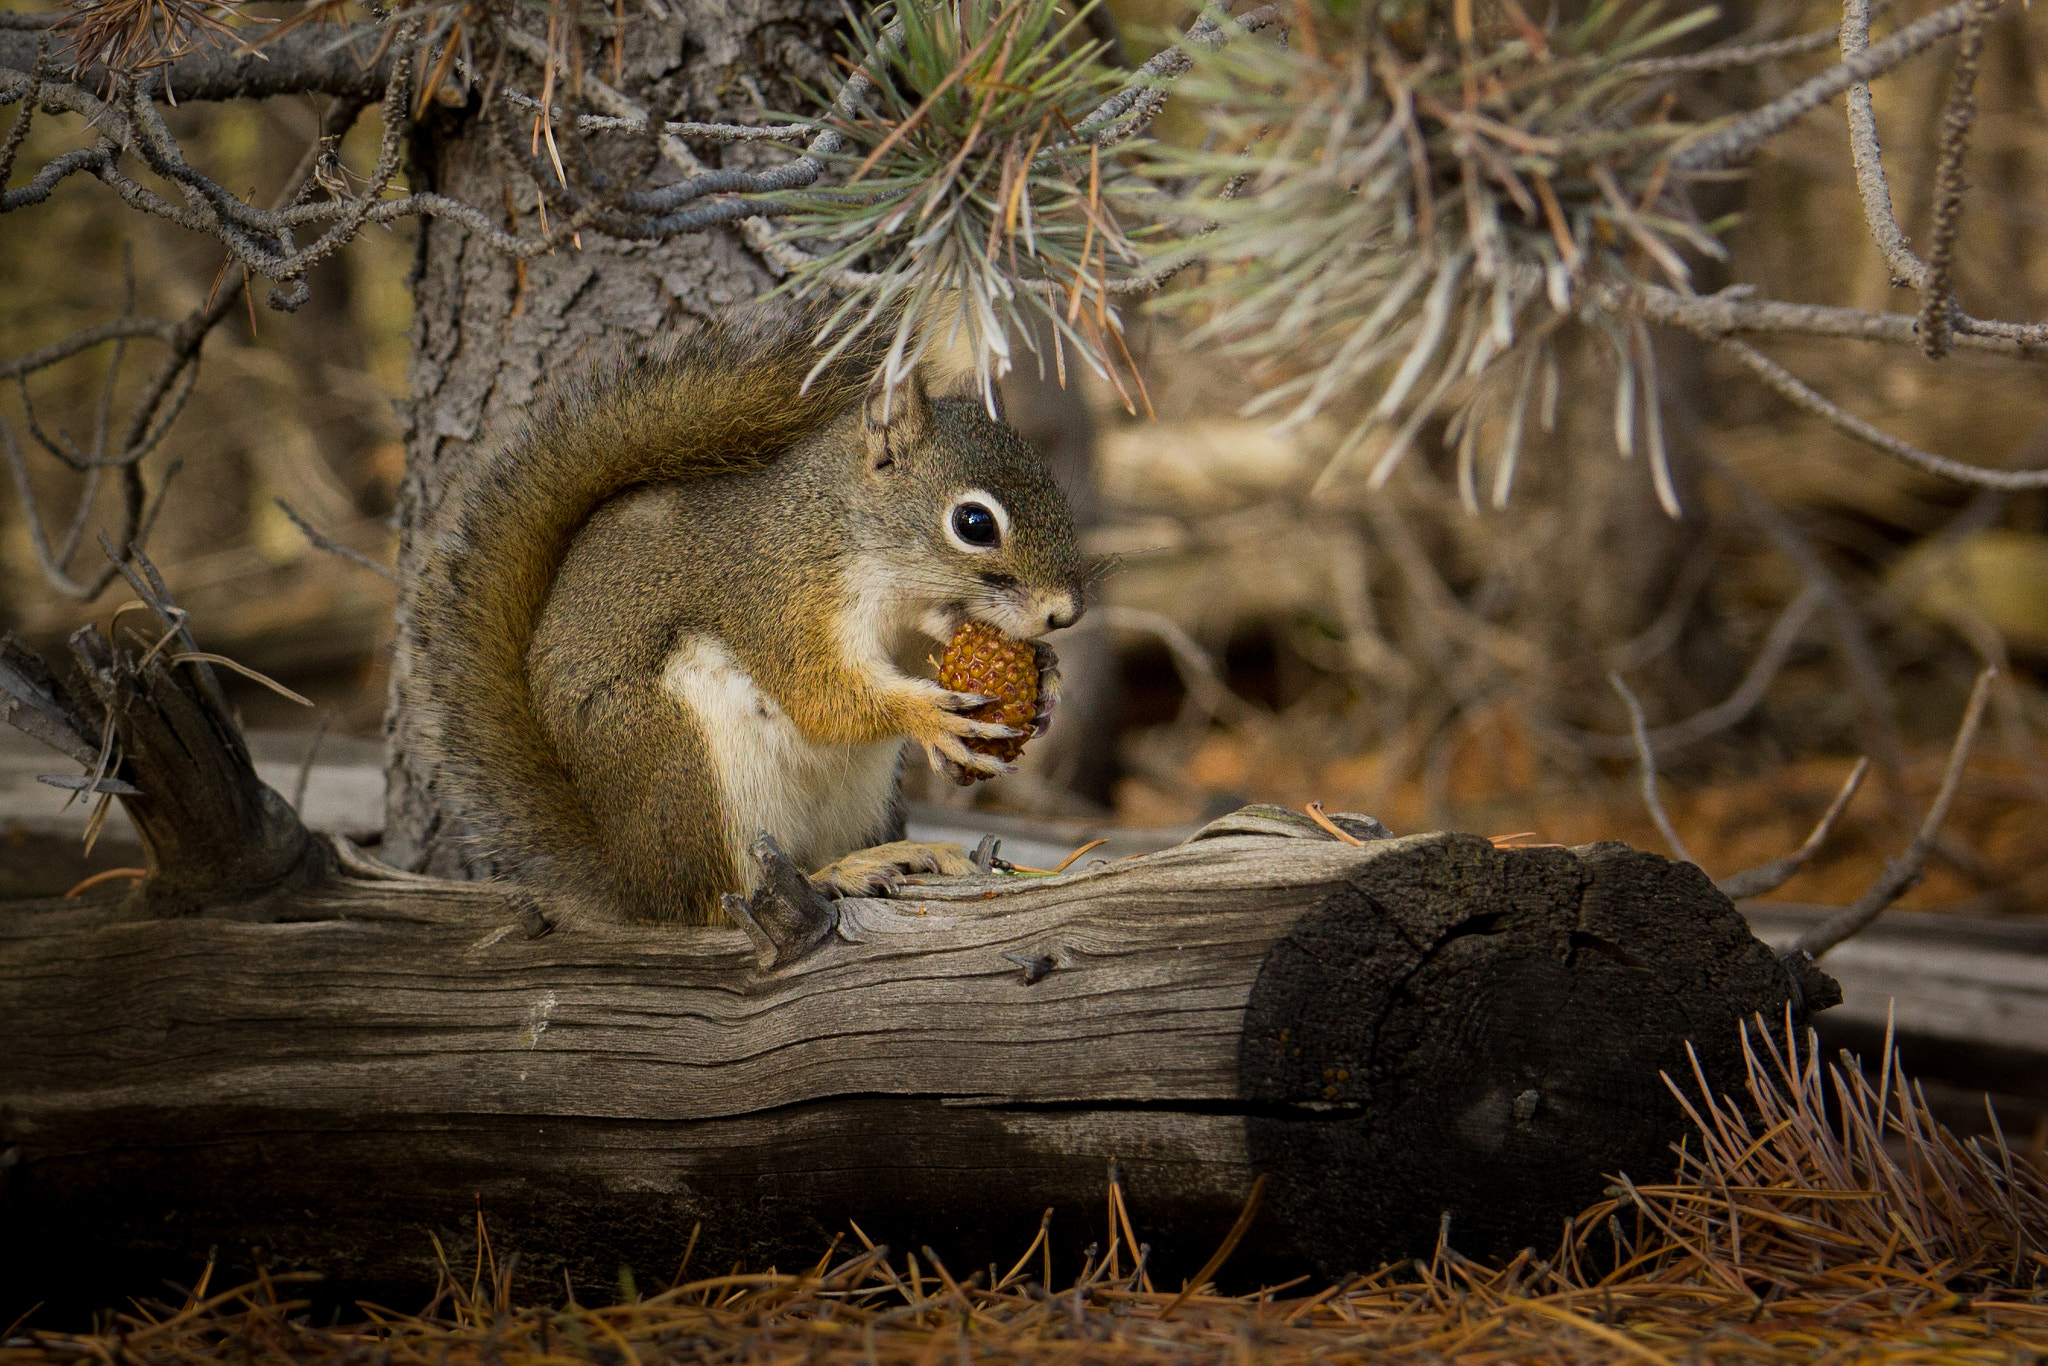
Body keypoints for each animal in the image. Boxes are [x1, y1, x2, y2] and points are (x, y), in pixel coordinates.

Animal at [410, 304, 1088, 925]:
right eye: (973, 523)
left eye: (1056, 490)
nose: (1065, 614)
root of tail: (634, 884)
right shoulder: (778, 599)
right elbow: (819, 693)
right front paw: (928, 716)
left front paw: (1047, 680)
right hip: (693, 764)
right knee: (720, 900)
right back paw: (840, 872)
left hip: (855, 791)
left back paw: (898, 854)